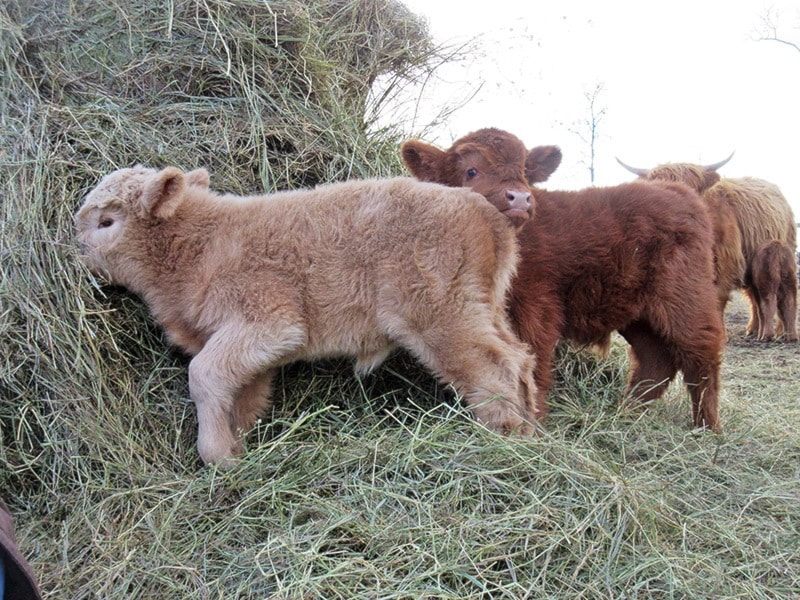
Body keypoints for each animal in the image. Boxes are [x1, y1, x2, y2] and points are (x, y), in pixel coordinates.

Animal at [75, 166, 536, 466]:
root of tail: (483, 211)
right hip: (483, 306)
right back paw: (533, 430)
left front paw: (216, 456)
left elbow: (203, 374)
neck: (199, 245)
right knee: (520, 357)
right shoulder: (252, 348)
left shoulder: (269, 320)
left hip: (441, 313)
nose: (73, 252)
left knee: (491, 366)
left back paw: (504, 440)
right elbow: (243, 396)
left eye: (107, 221)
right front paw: (237, 450)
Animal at [404, 129, 728, 434]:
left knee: (702, 355)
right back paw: (627, 414)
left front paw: (533, 423)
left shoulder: (536, 308)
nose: (520, 197)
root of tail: (679, 191)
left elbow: (531, 363)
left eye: (524, 171)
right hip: (637, 312)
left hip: (686, 298)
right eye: (471, 171)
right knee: (655, 360)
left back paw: (708, 428)